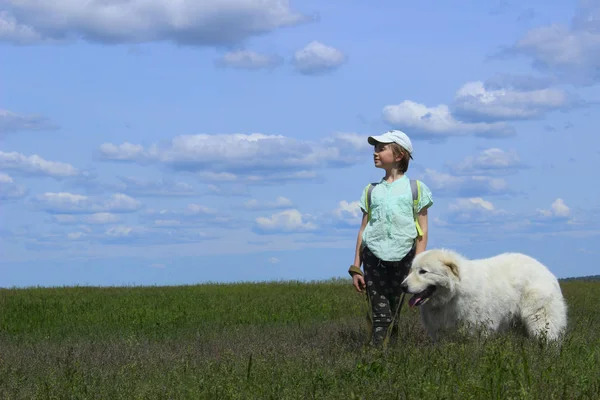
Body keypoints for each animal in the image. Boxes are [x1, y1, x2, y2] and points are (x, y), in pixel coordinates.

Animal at [404, 248, 568, 342]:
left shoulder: (476, 331)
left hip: (540, 321)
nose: (402, 286)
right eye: (411, 270)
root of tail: (546, 270)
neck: (454, 293)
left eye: (423, 271)